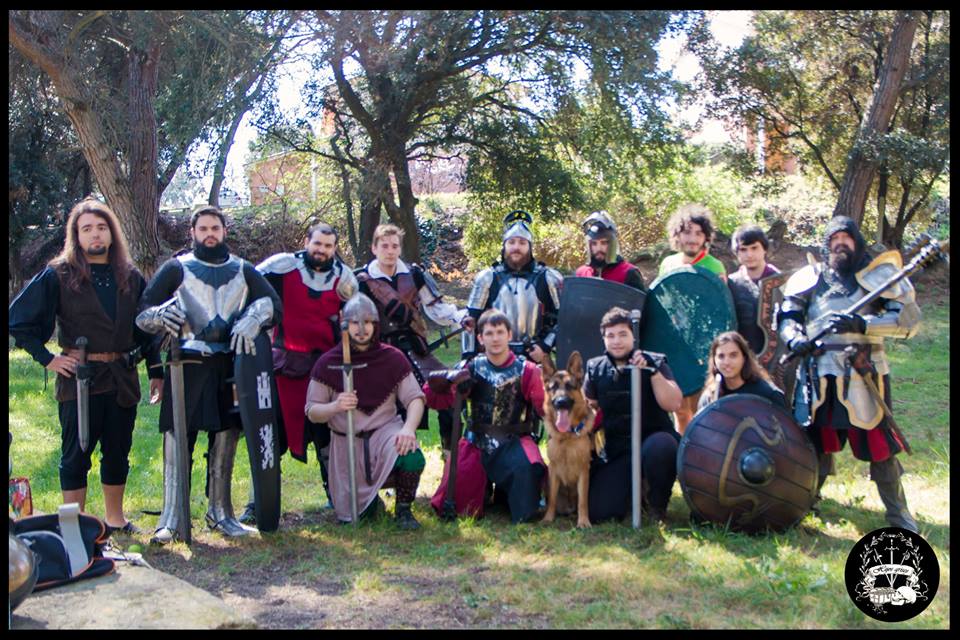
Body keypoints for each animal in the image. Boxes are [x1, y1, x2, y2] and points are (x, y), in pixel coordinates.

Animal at [540, 352, 592, 528]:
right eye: (554, 387)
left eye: (569, 386)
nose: (561, 402)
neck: (567, 436)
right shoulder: (553, 470)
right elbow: (552, 499)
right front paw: (548, 518)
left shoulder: (584, 470)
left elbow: (583, 500)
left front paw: (583, 521)